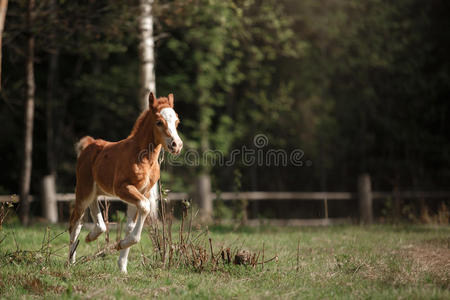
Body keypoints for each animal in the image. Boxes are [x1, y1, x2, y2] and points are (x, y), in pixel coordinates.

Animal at [69, 92, 182, 274]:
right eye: (159, 122)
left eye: (177, 122)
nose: (176, 145)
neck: (144, 158)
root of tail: (89, 144)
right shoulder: (123, 188)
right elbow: (145, 207)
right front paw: (121, 244)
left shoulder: (142, 192)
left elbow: (130, 224)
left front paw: (122, 266)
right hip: (83, 190)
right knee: (75, 222)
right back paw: (70, 262)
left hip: (95, 190)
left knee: (96, 218)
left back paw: (91, 236)